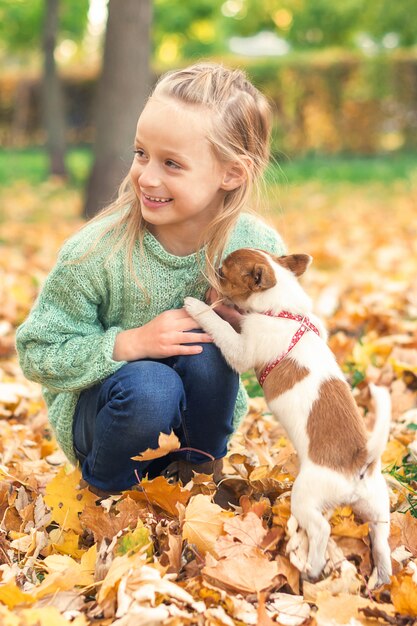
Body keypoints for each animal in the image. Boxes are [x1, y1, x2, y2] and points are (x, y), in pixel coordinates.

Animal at [184, 247, 392, 584]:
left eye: (223, 274)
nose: (211, 271)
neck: (281, 309)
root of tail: (360, 460)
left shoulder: (242, 349)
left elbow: (222, 327)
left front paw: (198, 307)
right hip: (377, 507)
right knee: (381, 540)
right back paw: (385, 577)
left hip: (306, 497)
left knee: (321, 529)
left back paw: (313, 568)